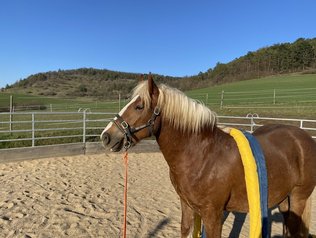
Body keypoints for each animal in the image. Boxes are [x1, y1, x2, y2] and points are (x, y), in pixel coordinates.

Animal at [101, 78, 316, 238]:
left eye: (139, 106)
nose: (106, 136)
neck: (201, 156)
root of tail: (304, 137)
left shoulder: (212, 214)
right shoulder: (187, 206)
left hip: (298, 198)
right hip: (284, 201)